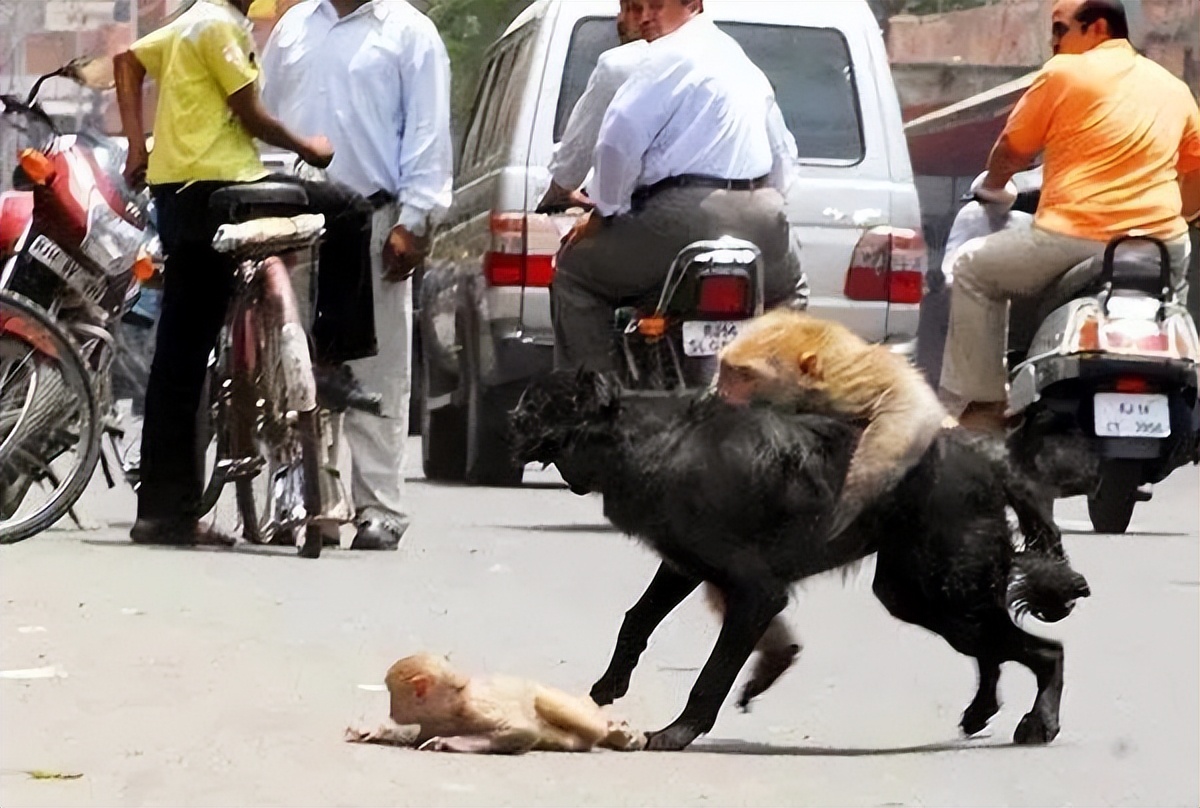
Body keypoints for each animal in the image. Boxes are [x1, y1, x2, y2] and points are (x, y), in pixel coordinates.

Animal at [511, 369, 1094, 749]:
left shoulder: (756, 592)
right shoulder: (681, 566)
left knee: (1048, 652)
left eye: (531, 407)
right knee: (995, 648)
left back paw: (1039, 724)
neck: (650, 440)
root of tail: (988, 457)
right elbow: (636, 619)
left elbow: (714, 674)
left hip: (938, 591)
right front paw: (608, 687)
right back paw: (980, 712)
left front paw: (677, 733)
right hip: (921, 595)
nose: (505, 417)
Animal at [710, 309, 955, 542]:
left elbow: (912, 399)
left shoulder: (846, 384)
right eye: (726, 369)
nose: (722, 392)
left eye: (743, 375)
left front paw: (854, 495)